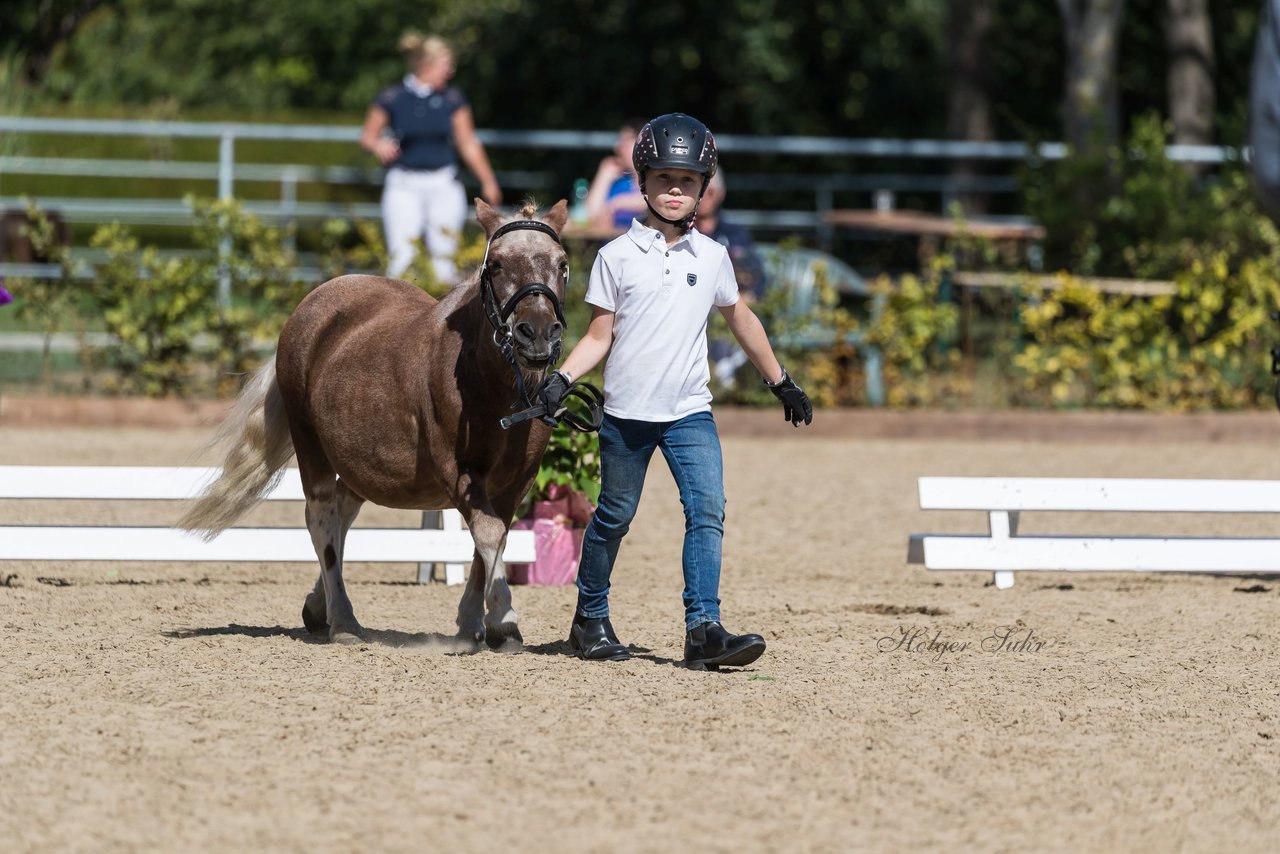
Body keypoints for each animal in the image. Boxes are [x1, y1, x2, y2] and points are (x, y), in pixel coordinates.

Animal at [183, 197, 573, 647]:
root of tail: (313, 304)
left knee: (342, 511)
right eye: (495, 264)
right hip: (311, 448)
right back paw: (343, 621)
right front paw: (503, 619)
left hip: (361, 464)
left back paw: (317, 606)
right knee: (321, 520)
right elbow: (489, 535)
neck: (496, 389)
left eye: (562, 264)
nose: (538, 335)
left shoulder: (515, 482)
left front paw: (474, 621)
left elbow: (492, 539)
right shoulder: (457, 471)